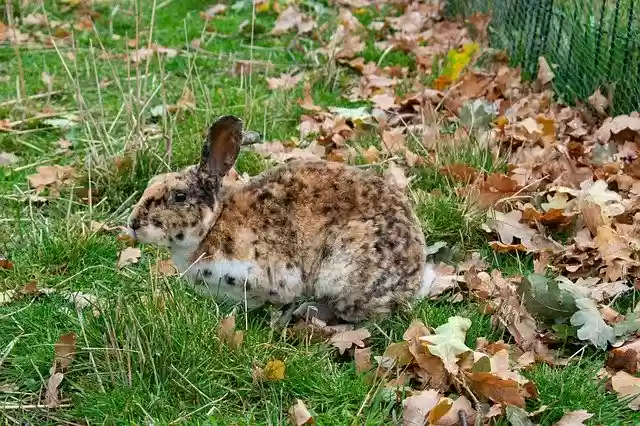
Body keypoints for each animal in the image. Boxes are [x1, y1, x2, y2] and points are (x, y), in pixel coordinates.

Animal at [126, 115, 436, 323]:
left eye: (179, 196)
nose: (132, 224)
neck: (212, 225)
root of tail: (414, 278)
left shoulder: (277, 277)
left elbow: (285, 301)